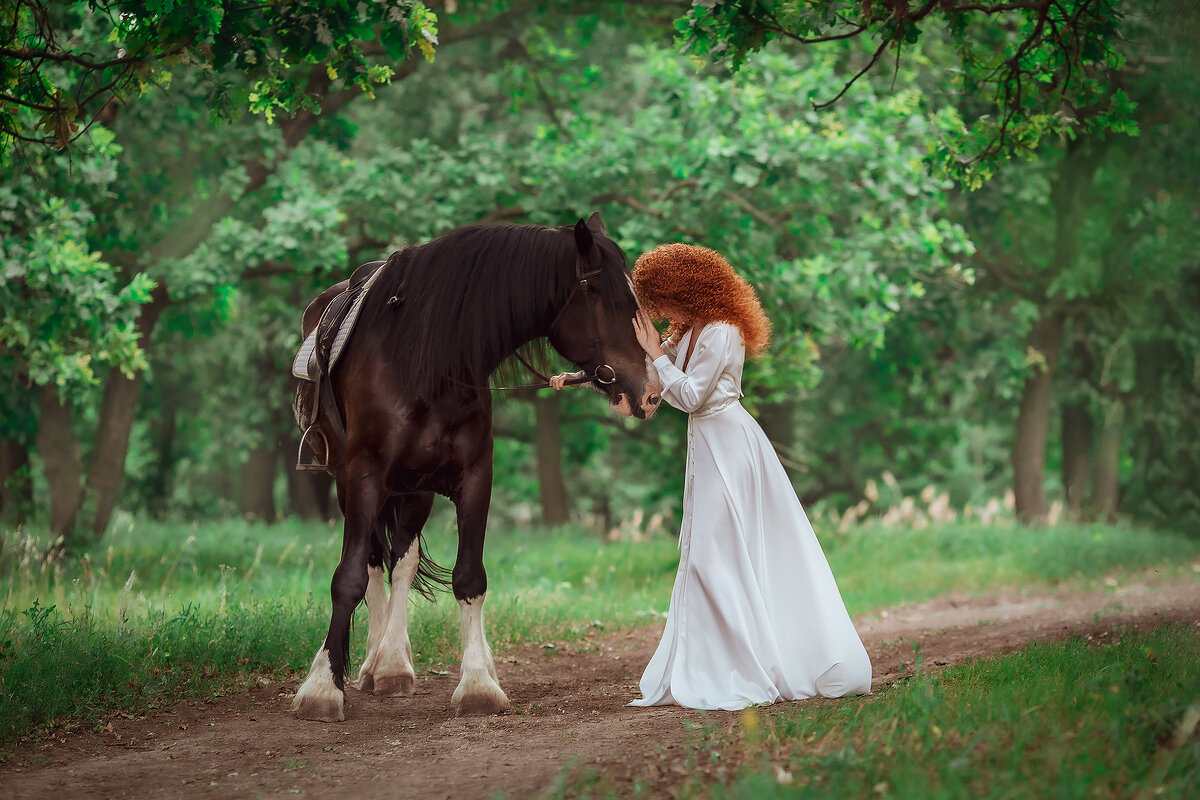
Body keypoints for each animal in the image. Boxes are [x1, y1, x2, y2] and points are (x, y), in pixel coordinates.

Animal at [292, 211, 667, 719]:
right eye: (607, 298)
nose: (651, 391)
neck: (424, 361)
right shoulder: (364, 477)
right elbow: (348, 578)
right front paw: (321, 687)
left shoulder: (475, 480)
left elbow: (469, 578)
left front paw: (477, 683)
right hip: (351, 485)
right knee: (372, 564)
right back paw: (375, 662)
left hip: (415, 490)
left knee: (401, 561)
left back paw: (393, 664)